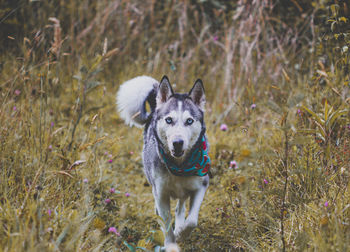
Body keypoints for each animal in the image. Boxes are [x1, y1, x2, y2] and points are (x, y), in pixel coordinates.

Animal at [117, 76, 211, 249]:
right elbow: (166, 225)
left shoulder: (201, 185)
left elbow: (192, 221)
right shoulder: (161, 194)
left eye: (189, 121)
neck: (179, 166)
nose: (178, 143)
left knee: (180, 206)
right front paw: (171, 245)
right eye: (169, 120)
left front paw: (181, 233)